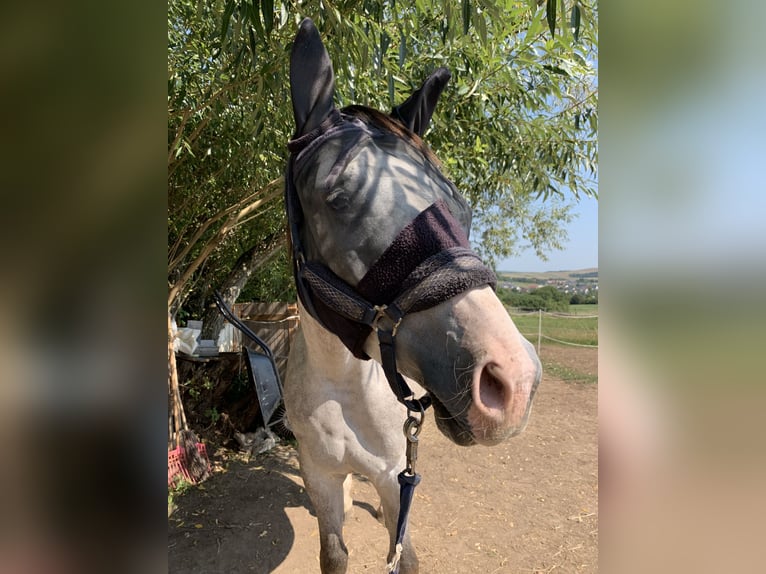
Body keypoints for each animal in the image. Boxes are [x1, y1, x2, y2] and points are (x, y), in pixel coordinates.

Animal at [283, 19, 542, 574]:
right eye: (337, 197)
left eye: (461, 206)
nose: (513, 380)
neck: (344, 384)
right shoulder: (318, 475)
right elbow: (333, 551)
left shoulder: (391, 475)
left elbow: (403, 552)